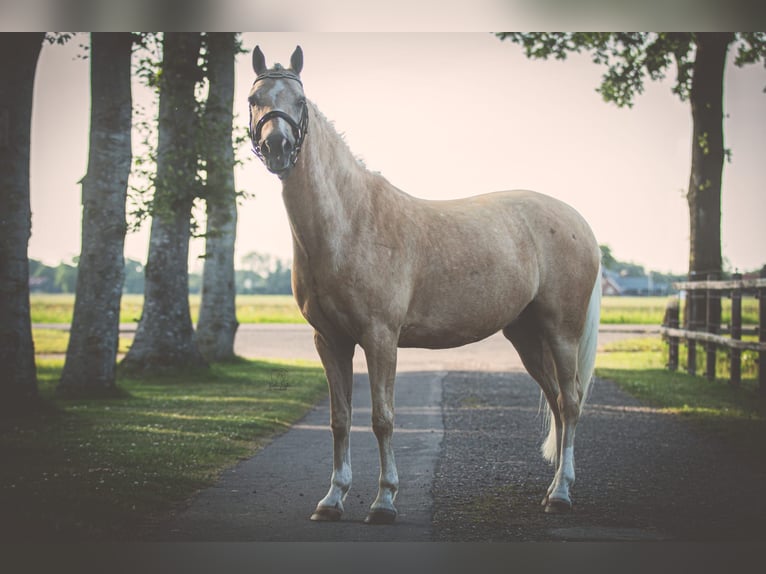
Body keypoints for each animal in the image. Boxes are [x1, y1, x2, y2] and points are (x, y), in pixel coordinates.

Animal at [247, 45, 602, 524]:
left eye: (300, 102)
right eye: (254, 99)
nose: (277, 148)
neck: (349, 221)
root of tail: (578, 222)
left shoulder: (380, 337)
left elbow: (382, 418)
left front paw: (384, 502)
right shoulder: (330, 340)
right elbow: (340, 419)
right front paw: (333, 499)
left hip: (561, 332)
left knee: (569, 402)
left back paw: (562, 494)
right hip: (526, 335)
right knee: (557, 404)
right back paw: (551, 490)